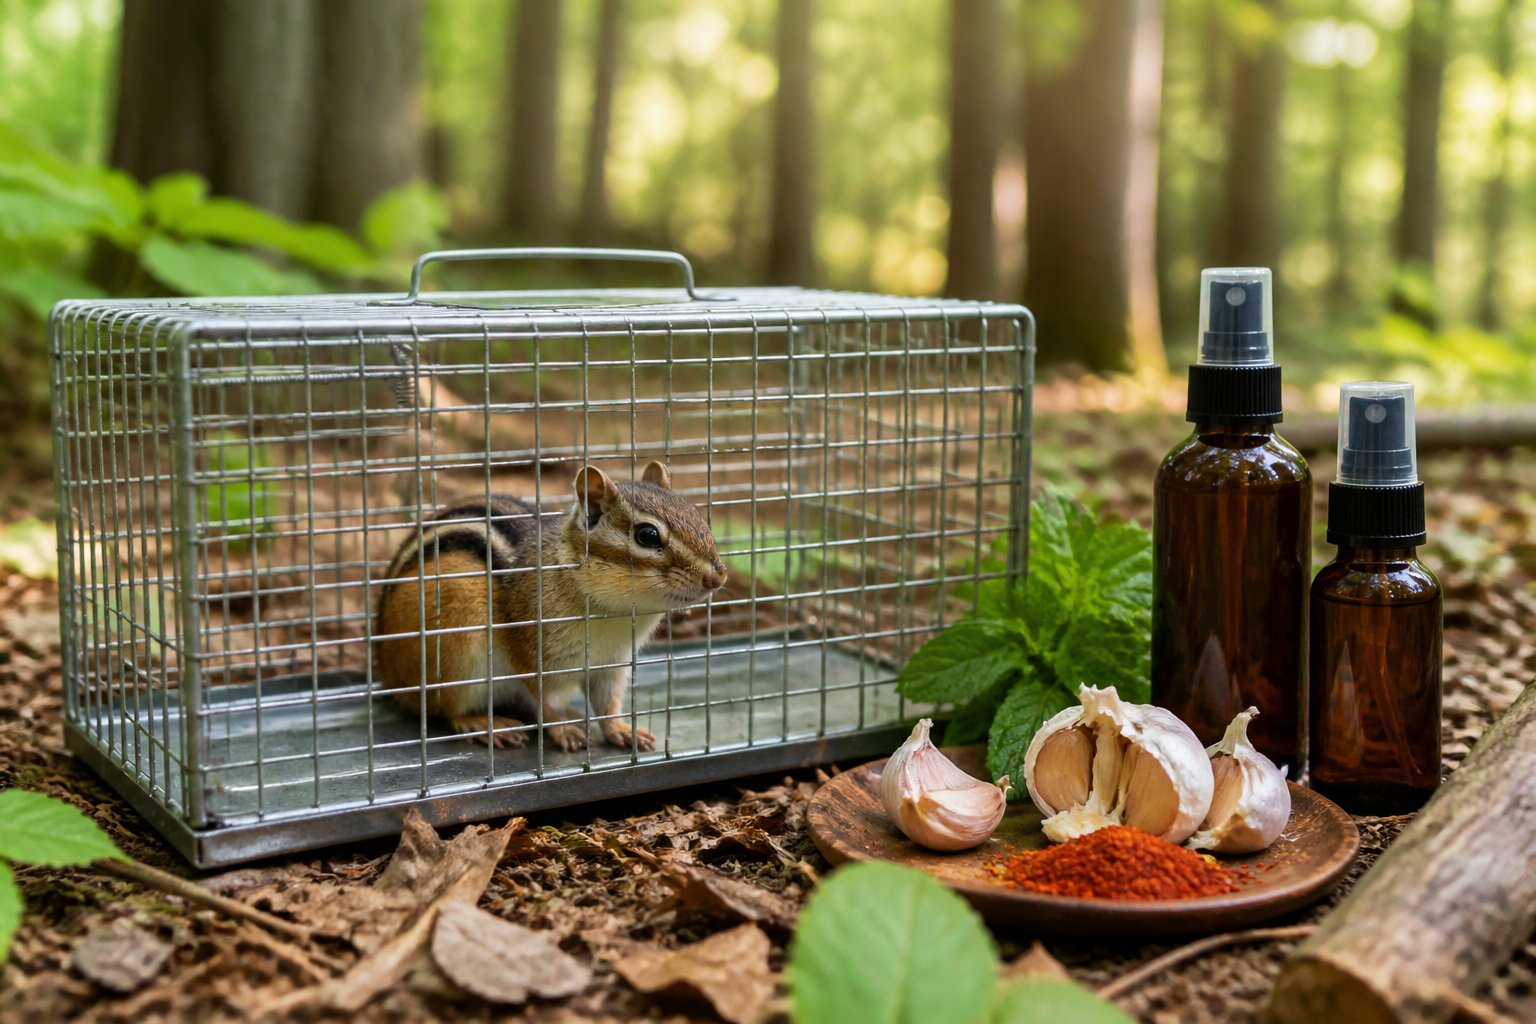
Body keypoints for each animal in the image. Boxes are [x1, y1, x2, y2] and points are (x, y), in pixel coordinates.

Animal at [374, 462, 726, 752]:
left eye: (699, 516)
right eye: (648, 535)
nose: (717, 577)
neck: (611, 613)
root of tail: (388, 673)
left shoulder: (610, 664)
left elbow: (607, 703)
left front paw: (622, 729)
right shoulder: (536, 654)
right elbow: (546, 701)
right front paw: (564, 731)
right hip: (454, 655)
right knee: (449, 709)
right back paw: (486, 723)